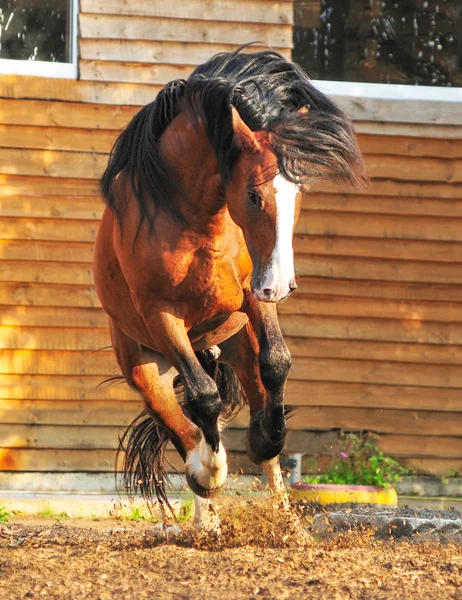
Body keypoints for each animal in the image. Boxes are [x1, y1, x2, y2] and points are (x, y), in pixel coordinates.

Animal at [94, 47, 366, 532]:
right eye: (255, 196)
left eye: (298, 195)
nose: (281, 284)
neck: (195, 219)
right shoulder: (161, 314)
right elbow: (204, 401)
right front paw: (210, 470)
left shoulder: (251, 295)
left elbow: (277, 364)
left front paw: (265, 437)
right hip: (146, 368)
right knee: (184, 426)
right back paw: (207, 511)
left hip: (237, 344)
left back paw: (286, 524)